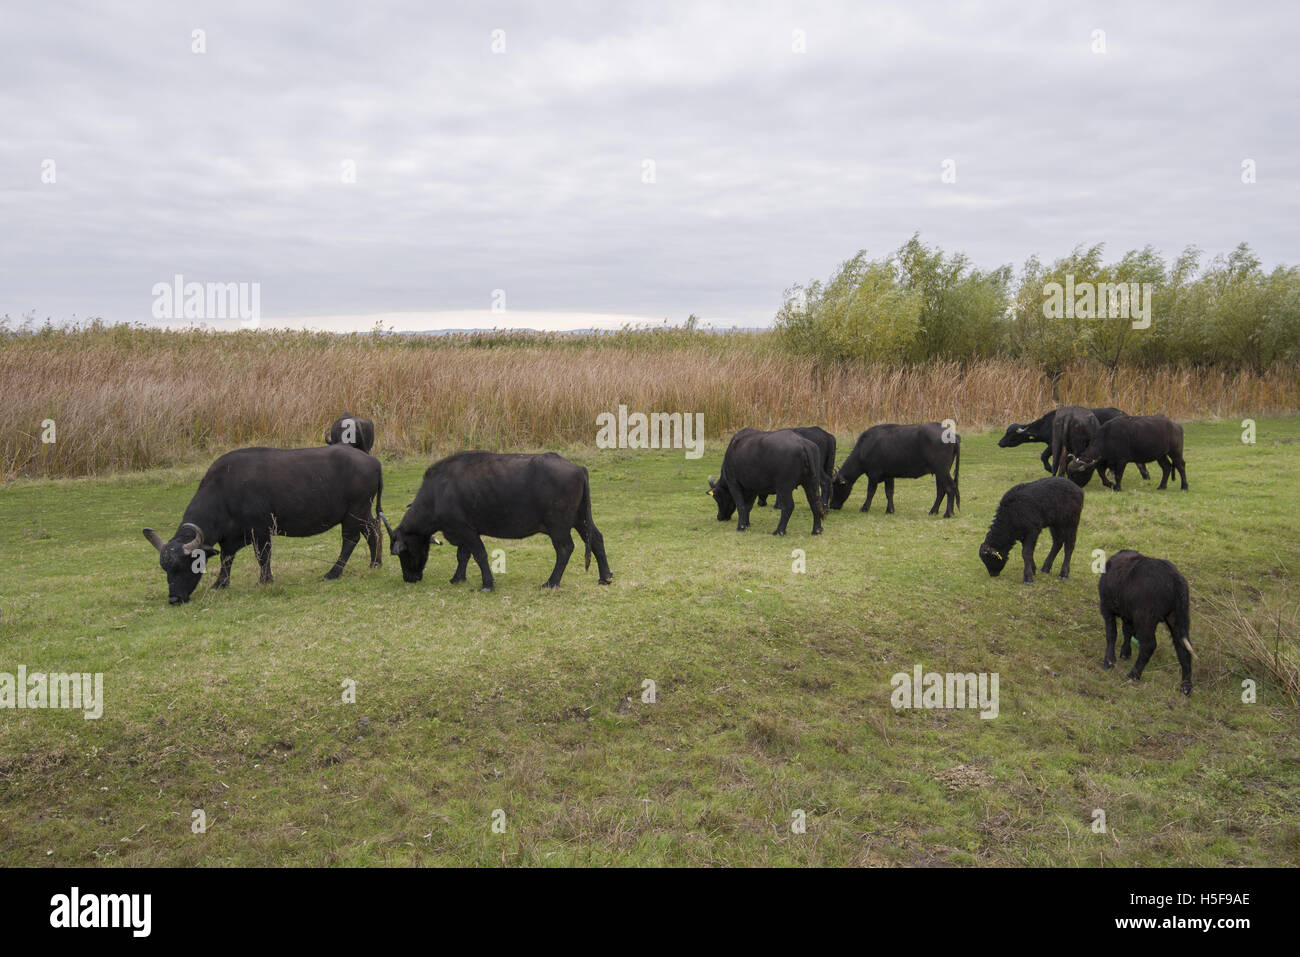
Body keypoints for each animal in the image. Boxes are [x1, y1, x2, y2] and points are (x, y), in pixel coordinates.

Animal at [145, 444, 384, 600]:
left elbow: (262, 556)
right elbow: (226, 558)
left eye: (188, 564)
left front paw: (264, 580)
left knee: (350, 540)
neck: (224, 490)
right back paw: (375, 563)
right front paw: (220, 583)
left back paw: (333, 573)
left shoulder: (260, 530)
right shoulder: (229, 539)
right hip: (363, 513)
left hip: (354, 513)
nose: (174, 598)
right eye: (166, 569)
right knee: (373, 531)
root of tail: (373, 461)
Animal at [382, 449, 611, 590]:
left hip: (559, 525)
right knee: (597, 538)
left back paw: (551, 582)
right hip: (580, 519)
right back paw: (605, 577)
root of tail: (578, 468)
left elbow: (479, 555)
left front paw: (487, 584)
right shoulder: (464, 531)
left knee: (565, 548)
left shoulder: (465, 530)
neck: (438, 492)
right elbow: (463, 556)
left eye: (403, 552)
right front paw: (457, 578)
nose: (409, 578)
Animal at [826, 423, 961, 520]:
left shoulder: (873, 475)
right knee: (941, 490)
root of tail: (953, 435)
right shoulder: (888, 476)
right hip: (940, 472)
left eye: (836, 487)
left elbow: (870, 492)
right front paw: (890, 510)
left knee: (950, 488)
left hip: (942, 470)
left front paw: (864, 508)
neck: (865, 447)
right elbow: (889, 492)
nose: (832, 505)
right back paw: (934, 511)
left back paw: (947, 513)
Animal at [998, 405, 1154, 478]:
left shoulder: (1053, 443)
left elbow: (1044, 456)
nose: (1000, 443)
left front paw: (1048, 468)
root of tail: (1122, 413)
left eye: (1010, 434)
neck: (1047, 423)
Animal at [1092, 548, 1190, 691]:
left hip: (1145, 618)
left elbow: (1112, 633)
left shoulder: (1107, 608)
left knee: (1149, 645)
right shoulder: (1128, 615)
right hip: (1179, 617)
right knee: (1183, 647)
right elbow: (1127, 631)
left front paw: (1109, 661)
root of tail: (1175, 580)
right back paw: (1186, 687)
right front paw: (1125, 653)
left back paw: (1133, 675)